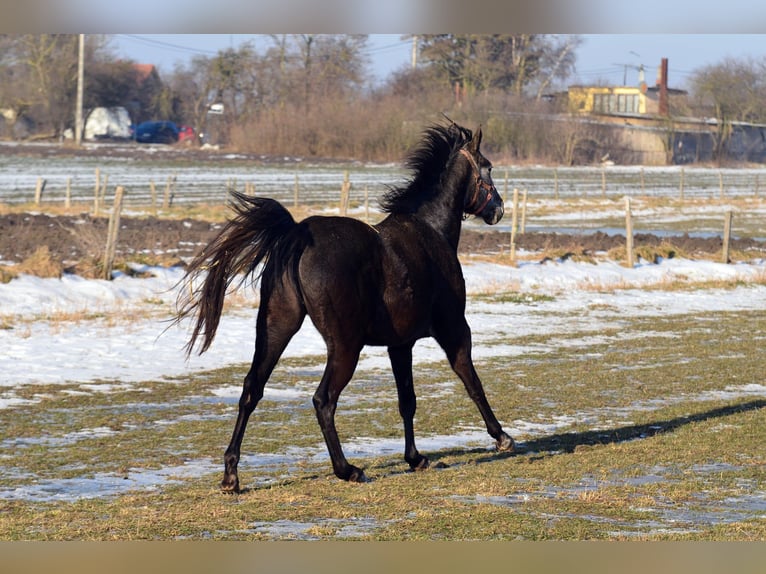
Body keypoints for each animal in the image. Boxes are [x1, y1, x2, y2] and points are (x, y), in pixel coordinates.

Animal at [175, 120, 515, 492]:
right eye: (488, 167)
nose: (498, 209)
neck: (430, 233)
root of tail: (298, 235)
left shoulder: (400, 345)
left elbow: (407, 400)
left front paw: (416, 458)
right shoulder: (453, 330)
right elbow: (471, 381)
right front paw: (502, 437)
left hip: (277, 328)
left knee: (252, 389)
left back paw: (231, 475)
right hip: (345, 346)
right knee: (323, 400)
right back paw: (348, 469)